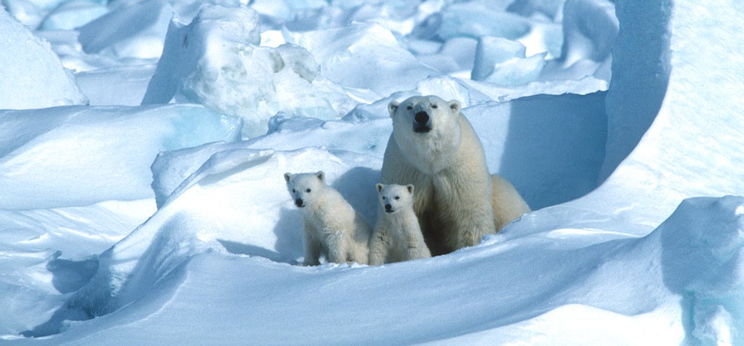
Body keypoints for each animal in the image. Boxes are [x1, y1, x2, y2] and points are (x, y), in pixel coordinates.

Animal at [384, 94, 528, 254]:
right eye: (409, 107)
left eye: (434, 105)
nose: (421, 116)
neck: (431, 161)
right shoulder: (407, 170)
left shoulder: (458, 169)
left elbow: (468, 212)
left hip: (502, 194)